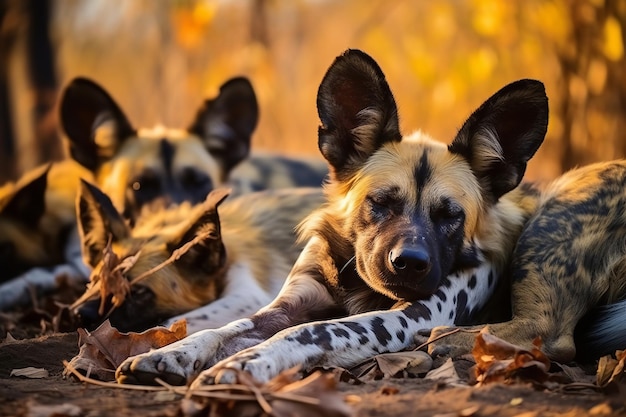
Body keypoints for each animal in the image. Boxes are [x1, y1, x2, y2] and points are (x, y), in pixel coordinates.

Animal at [116, 49, 552, 386]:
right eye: (381, 202)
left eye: (450, 215)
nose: (409, 263)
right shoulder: (286, 305)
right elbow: (225, 327)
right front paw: (175, 350)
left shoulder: (405, 319)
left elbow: (309, 331)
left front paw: (247, 363)